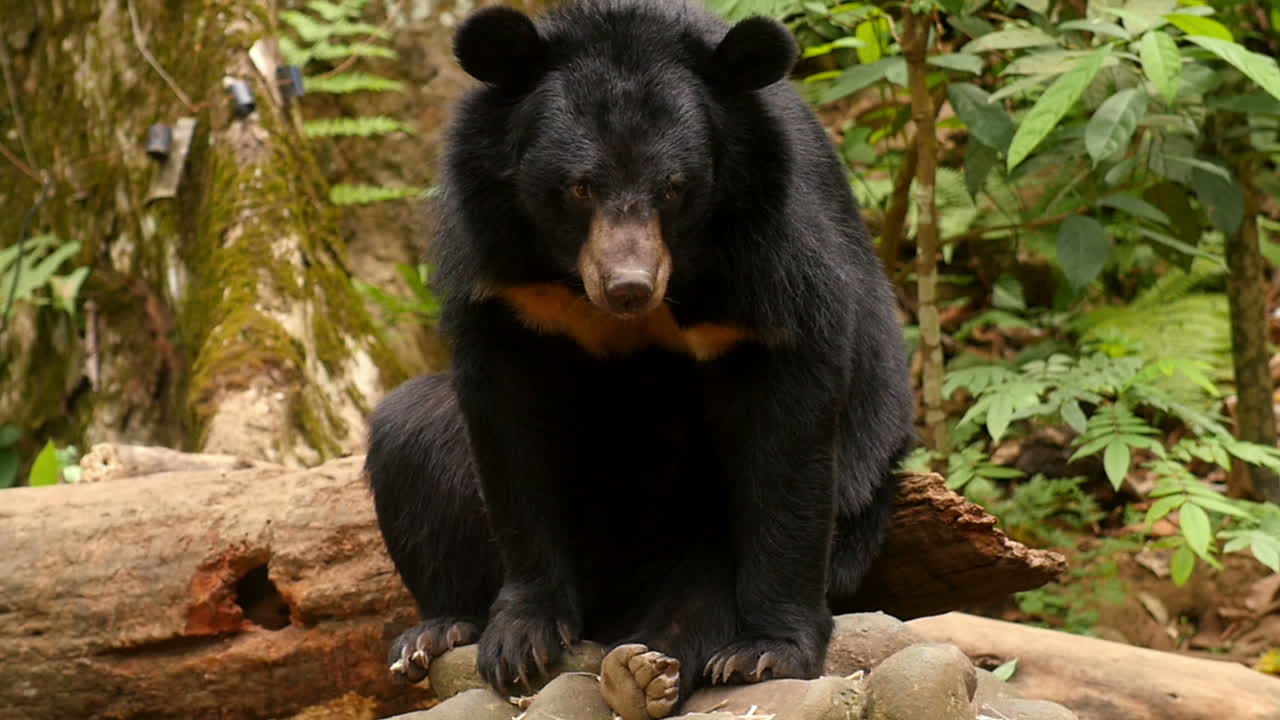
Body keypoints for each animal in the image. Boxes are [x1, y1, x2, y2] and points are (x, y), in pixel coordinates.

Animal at [364, 1, 916, 717]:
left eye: (674, 188)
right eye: (578, 188)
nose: (628, 285)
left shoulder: (772, 261)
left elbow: (788, 440)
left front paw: (769, 650)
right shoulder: (504, 277)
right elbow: (507, 440)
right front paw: (519, 639)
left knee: (709, 578)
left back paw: (648, 667)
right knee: (409, 435)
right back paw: (438, 631)